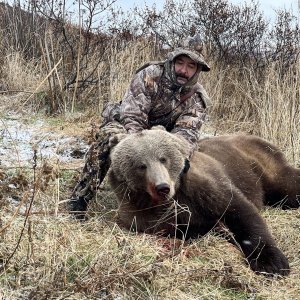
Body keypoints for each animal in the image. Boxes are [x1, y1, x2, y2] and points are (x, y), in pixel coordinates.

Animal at [108, 125, 300, 276]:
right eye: (141, 165)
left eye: (163, 158)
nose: (162, 187)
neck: (172, 199)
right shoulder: (145, 215)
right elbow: (190, 227)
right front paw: (221, 230)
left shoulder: (203, 185)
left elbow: (240, 211)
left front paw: (271, 263)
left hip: (259, 164)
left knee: (287, 185)